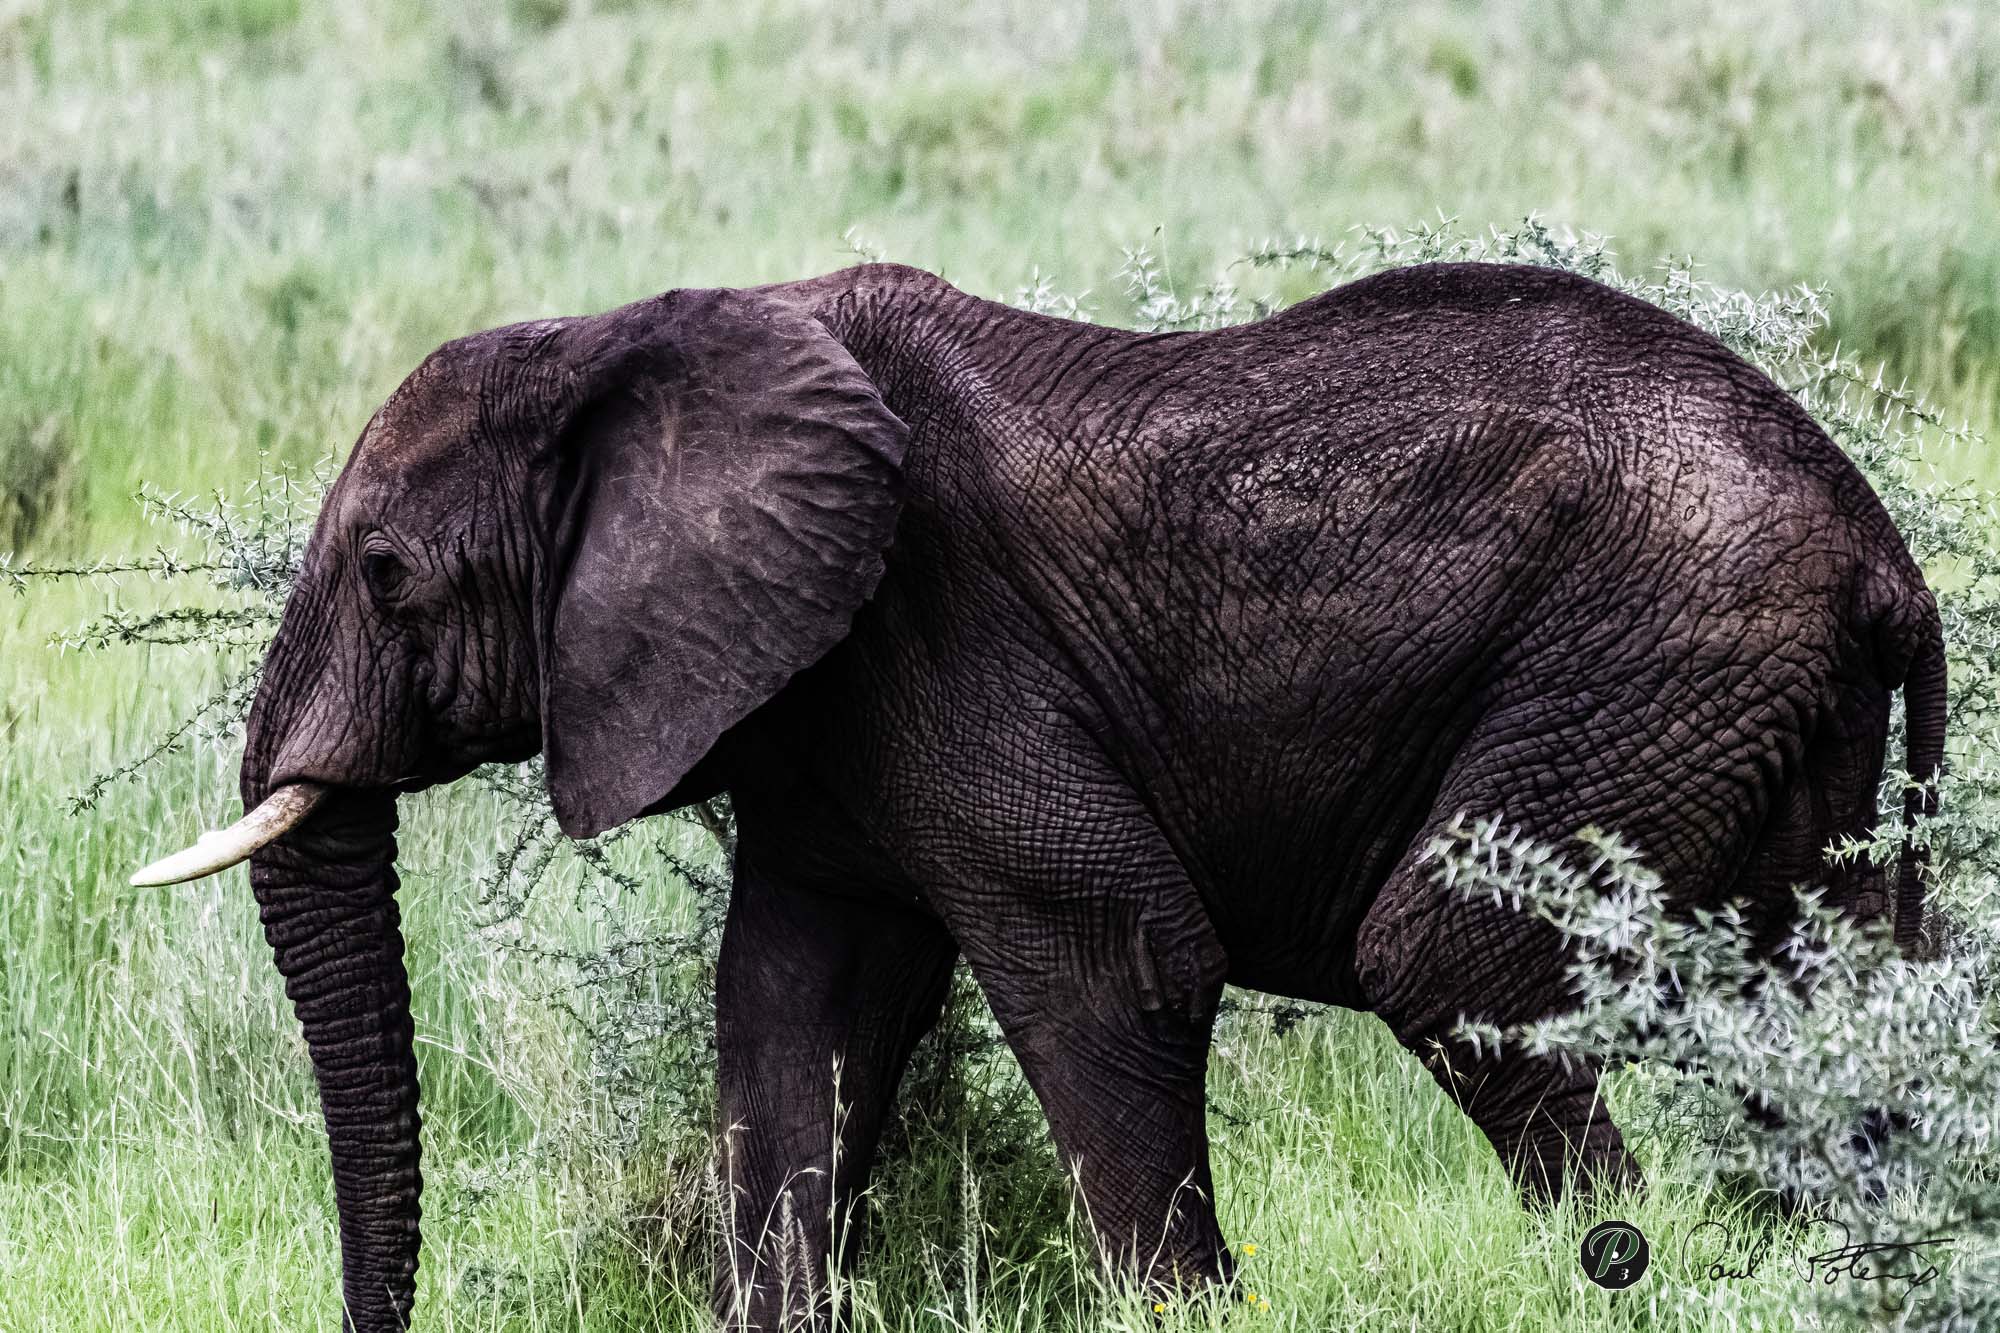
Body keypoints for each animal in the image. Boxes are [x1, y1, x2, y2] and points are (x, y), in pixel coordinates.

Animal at [132, 259, 1946, 1331]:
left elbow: (1114, 947)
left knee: (1445, 955)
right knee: (1827, 999)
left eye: (389, 574)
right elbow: (794, 1005)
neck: (641, 335)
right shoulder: (825, 707)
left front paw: (1190, 1312)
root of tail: (1878, 545)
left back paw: (1629, 1273)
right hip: (1764, 713)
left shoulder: (939, 633)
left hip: (1650, 653)